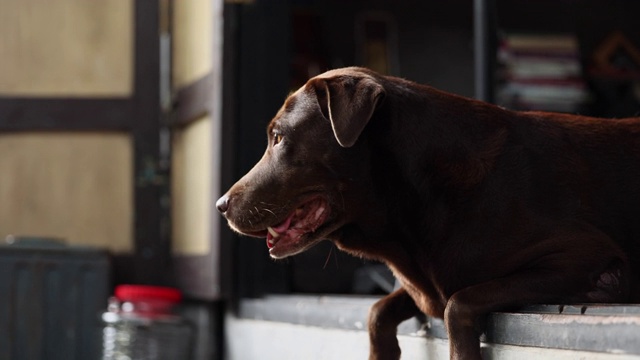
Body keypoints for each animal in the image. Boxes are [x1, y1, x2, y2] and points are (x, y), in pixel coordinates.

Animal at [216, 66, 640, 358]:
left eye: (278, 138)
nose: (220, 205)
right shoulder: (421, 285)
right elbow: (377, 310)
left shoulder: (583, 255)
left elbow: (458, 303)